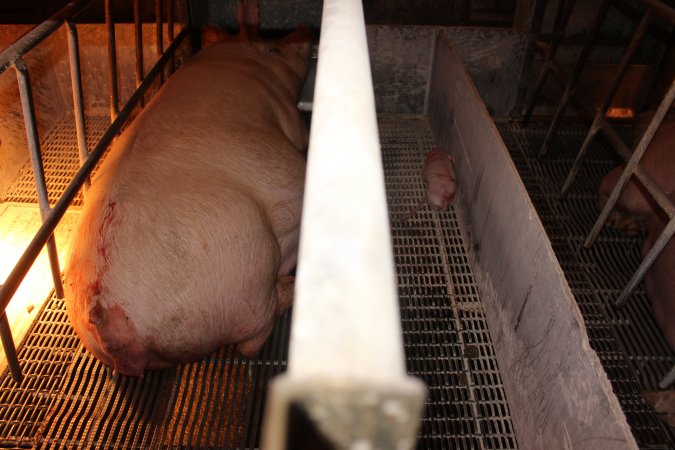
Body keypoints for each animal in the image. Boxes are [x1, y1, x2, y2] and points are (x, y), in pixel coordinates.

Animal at [63, 0, 312, 376]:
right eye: (274, 48)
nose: (306, 30)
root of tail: (106, 314)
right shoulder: (287, 114)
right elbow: (301, 132)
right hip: (244, 277)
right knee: (251, 341)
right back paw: (290, 288)